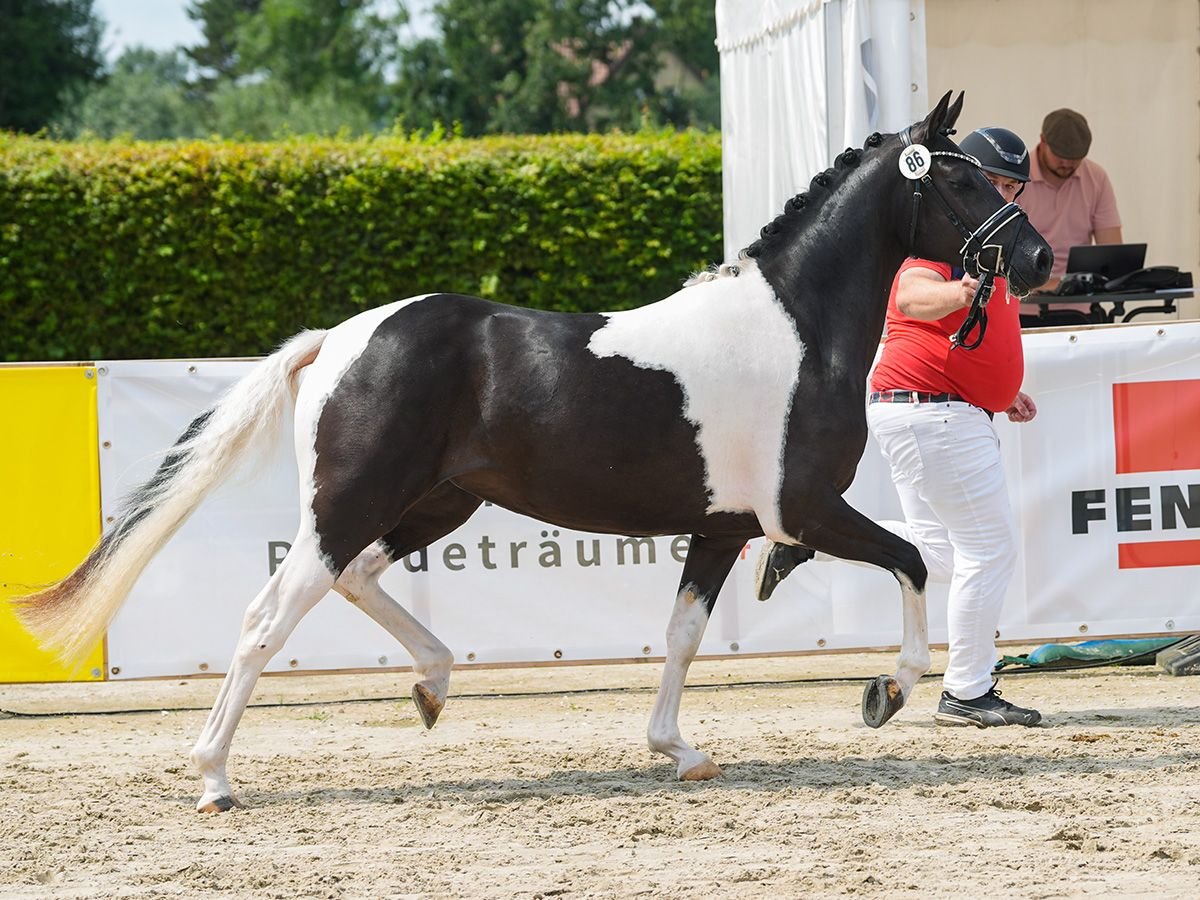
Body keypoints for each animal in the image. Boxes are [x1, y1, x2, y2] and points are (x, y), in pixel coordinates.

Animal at [16, 95, 1051, 816]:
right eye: (961, 182)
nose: (1039, 260)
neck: (795, 329)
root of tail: (339, 339)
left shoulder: (722, 529)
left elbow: (684, 634)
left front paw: (678, 751)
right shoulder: (801, 512)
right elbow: (913, 561)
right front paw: (888, 690)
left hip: (436, 505)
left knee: (356, 579)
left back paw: (432, 687)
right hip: (350, 503)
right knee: (267, 618)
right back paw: (215, 779)